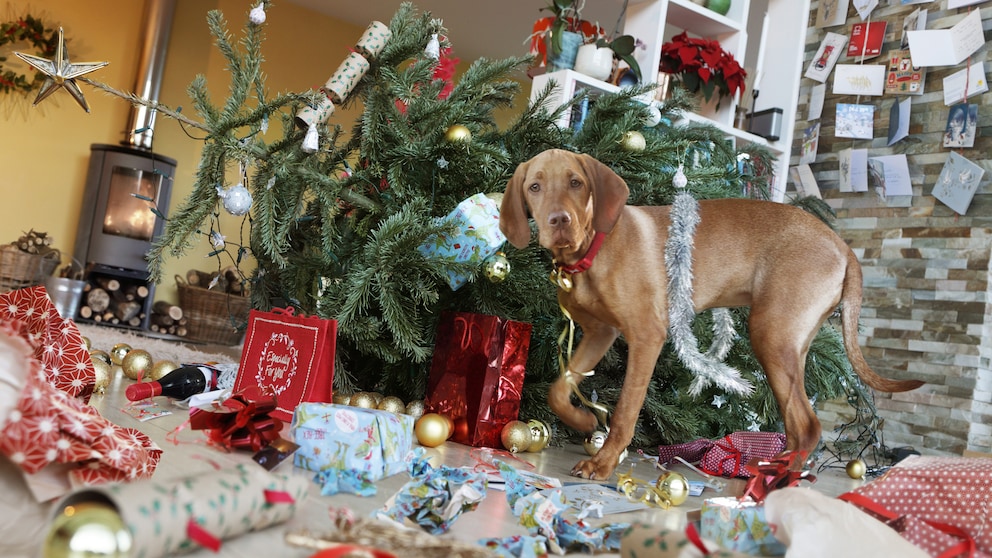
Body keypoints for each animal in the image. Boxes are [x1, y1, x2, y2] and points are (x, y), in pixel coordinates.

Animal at [500, 150, 928, 482]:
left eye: (576, 183)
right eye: (534, 187)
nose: (559, 221)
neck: (593, 249)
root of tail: (844, 246)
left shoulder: (647, 336)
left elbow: (625, 412)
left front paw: (602, 463)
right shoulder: (599, 332)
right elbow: (558, 389)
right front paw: (585, 422)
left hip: (770, 335)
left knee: (808, 426)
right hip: (792, 344)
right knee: (796, 426)